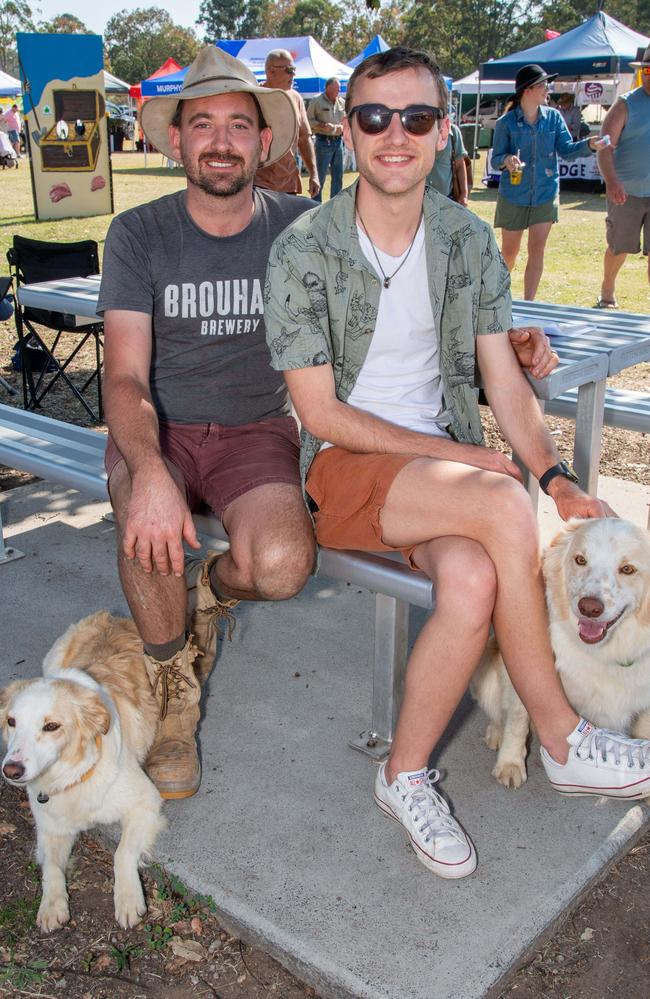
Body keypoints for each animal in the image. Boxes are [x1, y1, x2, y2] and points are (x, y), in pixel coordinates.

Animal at [1, 612, 163, 932]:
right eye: (11, 721)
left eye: (51, 726)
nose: (11, 771)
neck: (74, 775)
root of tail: (112, 615)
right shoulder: (50, 827)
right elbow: (51, 866)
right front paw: (52, 905)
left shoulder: (145, 802)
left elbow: (122, 853)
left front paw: (127, 898)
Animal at [470, 520, 648, 792]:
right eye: (580, 560)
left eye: (627, 569)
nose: (589, 608)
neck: (605, 652)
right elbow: (517, 718)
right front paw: (510, 764)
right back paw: (496, 733)